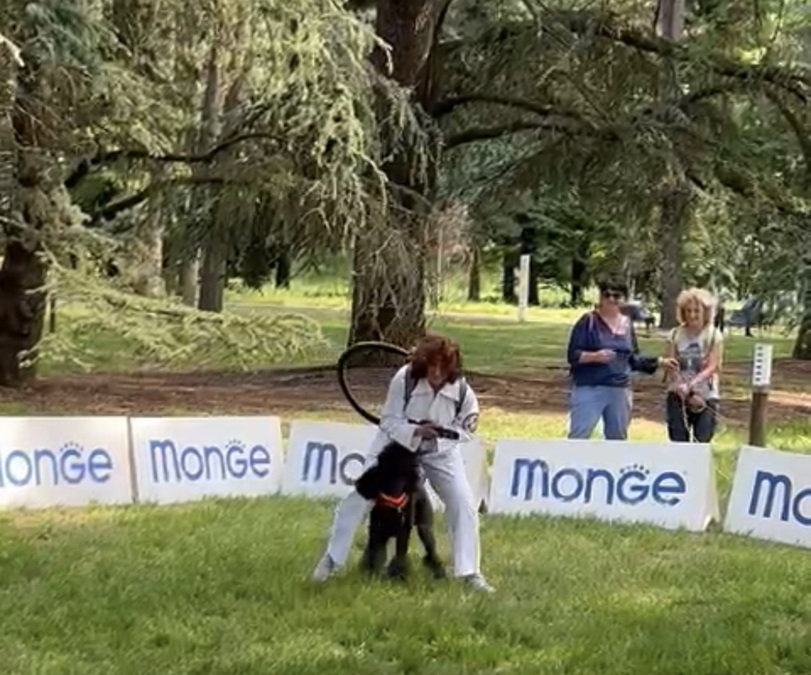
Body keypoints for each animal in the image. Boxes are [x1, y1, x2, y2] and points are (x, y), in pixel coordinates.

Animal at [354, 444, 448, 580]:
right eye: (380, 463)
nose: (358, 483)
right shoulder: (377, 529)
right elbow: (376, 554)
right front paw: (373, 575)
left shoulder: (402, 530)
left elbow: (399, 555)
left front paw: (396, 576)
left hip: (425, 528)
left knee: (431, 549)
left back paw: (439, 573)